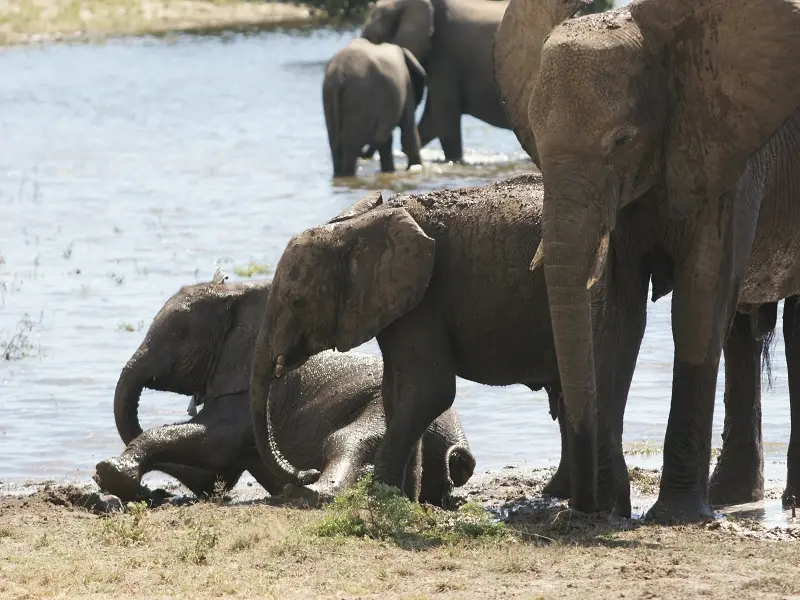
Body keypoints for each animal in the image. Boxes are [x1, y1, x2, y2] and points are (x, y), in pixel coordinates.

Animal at [96, 274, 475, 507]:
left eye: (179, 334)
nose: (153, 491)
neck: (242, 294)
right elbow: (216, 468)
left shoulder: (251, 394)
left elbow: (215, 442)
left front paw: (109, 472)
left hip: (378, 406)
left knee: (346, 439)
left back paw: (308, 493)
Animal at [323, 38, 426, 177]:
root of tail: (339, 74)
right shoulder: (408, 88)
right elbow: (409, 134)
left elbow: (387, 141)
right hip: (359, 98)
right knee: (351, 145)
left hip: (330, 96)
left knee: (336, 144)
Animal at [493, 0, 800, 523]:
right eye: (533, 133)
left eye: (621, 140)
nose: (577, 505)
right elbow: (619, 313)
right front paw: (607, 507)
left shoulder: (727, 158)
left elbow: (698, 307)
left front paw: (675, 515)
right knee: (740, 332)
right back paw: (730, 496)